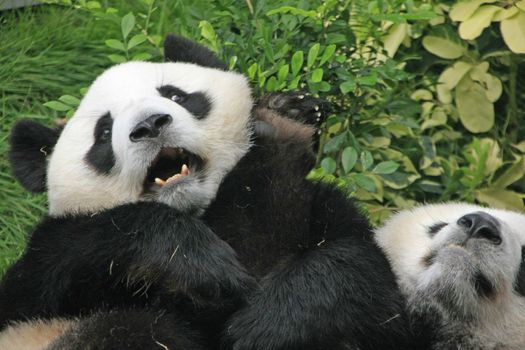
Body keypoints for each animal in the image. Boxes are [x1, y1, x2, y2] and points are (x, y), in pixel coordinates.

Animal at [1, 34, 418, 348]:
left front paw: (264, 325)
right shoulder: (45, 276)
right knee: (128, 328)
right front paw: (201, 263)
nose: (150, 125)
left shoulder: (326, 212)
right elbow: (57, 265)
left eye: (176, 96)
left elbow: (363, 277)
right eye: (103, 132)